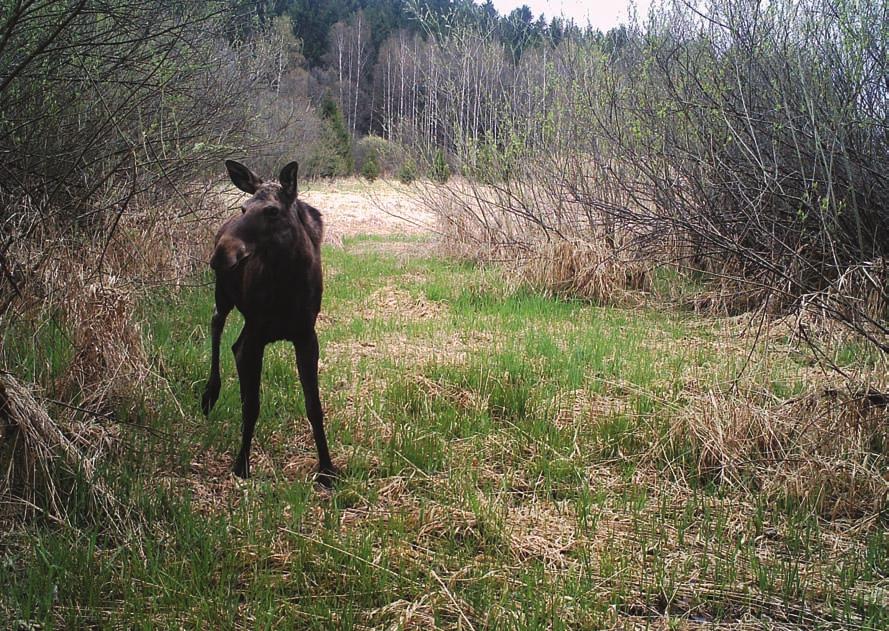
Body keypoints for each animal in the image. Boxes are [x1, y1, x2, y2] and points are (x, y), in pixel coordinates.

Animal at [199, 160, 334, 486]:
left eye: (272, 210)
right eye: (245, 208)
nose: (220, 254)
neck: (288, 287)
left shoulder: (306, 335)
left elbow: (314, 406)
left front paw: (326, 469)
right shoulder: (259, 333)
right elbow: (253, 406)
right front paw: (241, 464)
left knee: (235, 346)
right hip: (224, 296)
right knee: (216, 322)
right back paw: (210, 392)